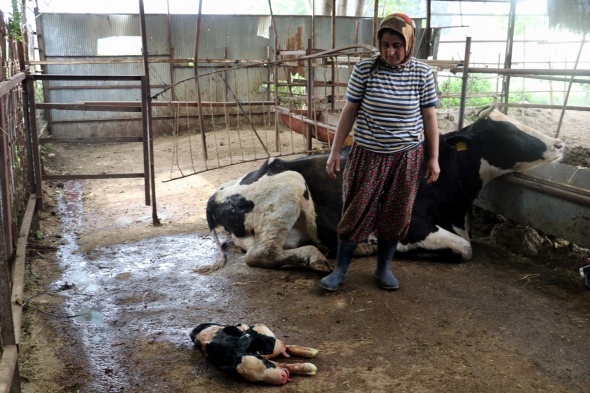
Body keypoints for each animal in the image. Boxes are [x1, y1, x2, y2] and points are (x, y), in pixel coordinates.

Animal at [191, 324, 320, 384]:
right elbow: (281, 364)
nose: (282, 377)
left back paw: (310, 351)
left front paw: (308, 367)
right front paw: (308, 368)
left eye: (264, 363)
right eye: (259, 381)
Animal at [201, 106, 568, 272]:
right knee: (260, 255)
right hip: (290, 183)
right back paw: (317, 257)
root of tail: (217, 193)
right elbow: (464, 248)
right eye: (507, 134)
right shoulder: (412, 225)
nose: (560, 143)